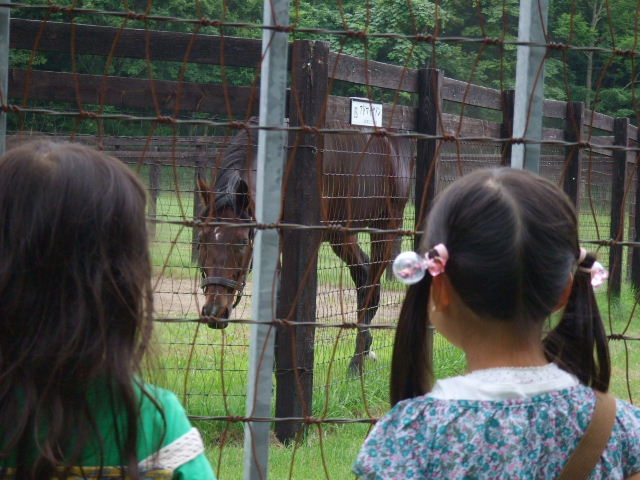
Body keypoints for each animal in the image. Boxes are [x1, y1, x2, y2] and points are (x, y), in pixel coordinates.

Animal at [198, 124, 412, 372]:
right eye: (201, 238)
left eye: (243, 242)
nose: (214, 312)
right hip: (341, 235)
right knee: (363, 275)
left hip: (386, 227)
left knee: (370, 283)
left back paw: (357, 364)